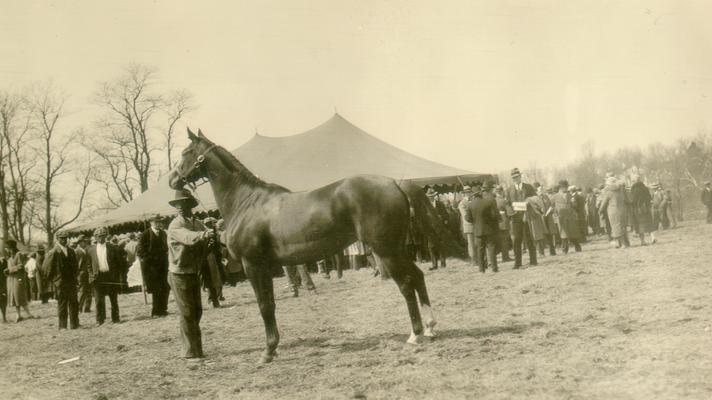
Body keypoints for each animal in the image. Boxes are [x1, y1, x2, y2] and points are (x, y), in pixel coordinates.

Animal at [170, 129, 442, 362]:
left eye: (186, 152)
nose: (172, 179)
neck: (247, 203)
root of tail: (395, 183)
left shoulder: (253, 266)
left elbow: (264, 306)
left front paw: (268, 351)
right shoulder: (265, 267)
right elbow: (270, 304)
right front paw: (273, 347)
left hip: (386, 251)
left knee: (406, 284)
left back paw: (415, 334)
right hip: (397, 249)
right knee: (418, 277)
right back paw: (430, 328)